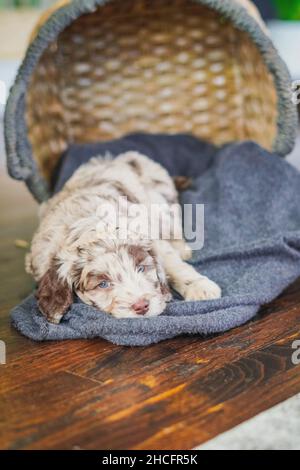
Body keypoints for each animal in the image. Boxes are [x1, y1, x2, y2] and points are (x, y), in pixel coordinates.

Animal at [26, 151, 220, 324]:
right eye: (103, 284)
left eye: (141, 269)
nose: (142, 306)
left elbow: (174, 264)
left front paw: (201, 287)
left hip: (159, 201)